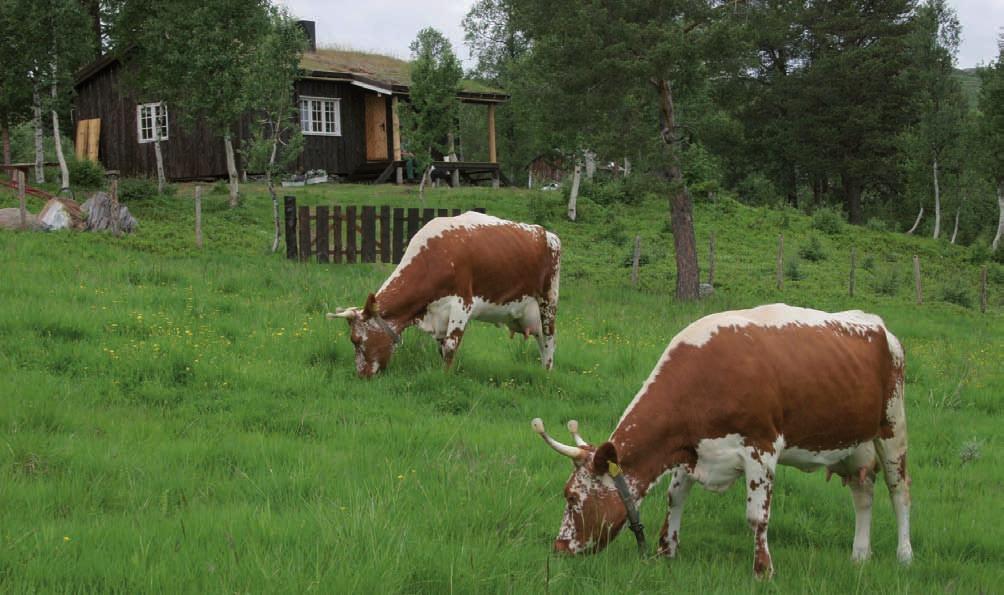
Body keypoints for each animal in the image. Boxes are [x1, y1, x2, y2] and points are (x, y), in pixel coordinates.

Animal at [331, 210, 562, 377]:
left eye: (356, 340)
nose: (361, 375)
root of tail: (547, 234)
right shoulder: (438, 315)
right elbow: (441, 348)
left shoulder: (462, 304)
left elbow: (450, 346)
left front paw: (445, 377)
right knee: (541, 341)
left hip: (548, 301)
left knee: (549, 340)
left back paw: (547, 375)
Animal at [538, 303, 915, 577]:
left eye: (571, 496)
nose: (559, 548)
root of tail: (877, 324)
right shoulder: (691, 448)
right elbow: (675, 497)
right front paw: (666, 551)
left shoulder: (762, 447)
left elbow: (757, 516)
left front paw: (763, 570)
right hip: (852, 443)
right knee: (863, 493)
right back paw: (860, 555)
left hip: (893, 427)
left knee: (899, 491)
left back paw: (905, 555)